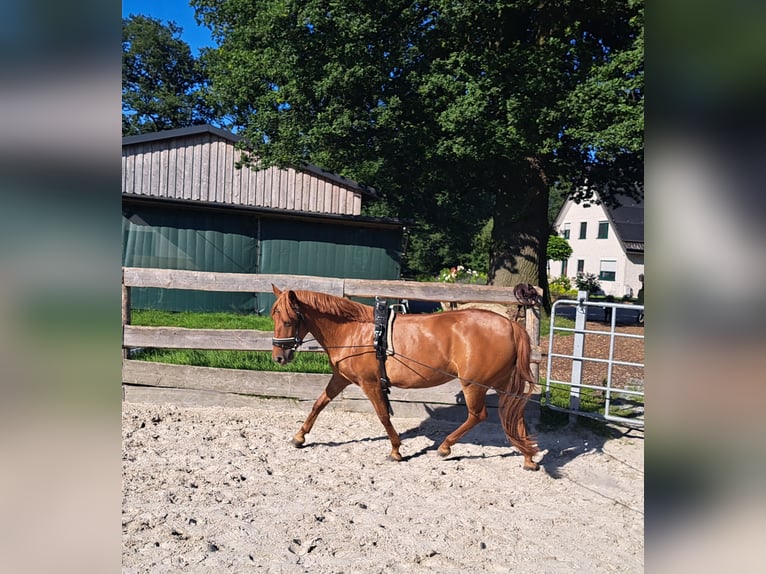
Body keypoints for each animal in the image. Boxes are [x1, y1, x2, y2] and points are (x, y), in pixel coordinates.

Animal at [270, 286, 540, 470]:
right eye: (274, 317)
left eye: (288, 320)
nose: (279, 357)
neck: (355, 331)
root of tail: (511, 325)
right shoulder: (341, 378)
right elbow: (319, 404)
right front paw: (299, 437)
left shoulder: (370, 383)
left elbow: (383, 416)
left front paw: (396, 450)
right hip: (502, 384)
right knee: (515, 414)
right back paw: (528, 457)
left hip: (473, 384)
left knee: (478, 415)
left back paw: (445, 447)